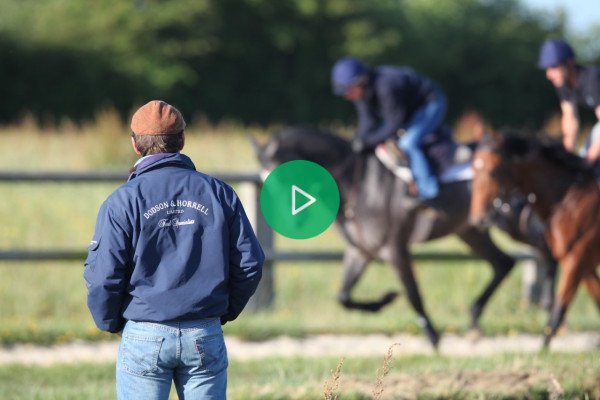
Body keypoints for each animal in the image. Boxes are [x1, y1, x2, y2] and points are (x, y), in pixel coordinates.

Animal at [253, 126, 552, 348]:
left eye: (284, 176)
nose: (293, 221)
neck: (356, 182)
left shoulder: (394, 250)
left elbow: (413, 294)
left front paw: (432, 336)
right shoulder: (361, 251)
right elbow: (344, 296)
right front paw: (383, 301)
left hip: (514, 223)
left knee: (547, 251)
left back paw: (550, 311)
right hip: (472, 231)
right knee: (504, 263)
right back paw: (476, 320)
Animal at [468, 133, 600, 348]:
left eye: (494, 172)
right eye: (473, 169)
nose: (478, 219)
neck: (568, 200)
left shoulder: (578, 259)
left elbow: (556, 313)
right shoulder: (581, 264)